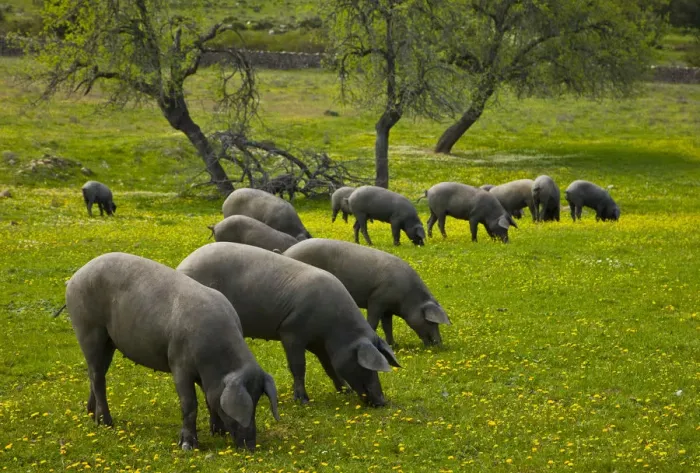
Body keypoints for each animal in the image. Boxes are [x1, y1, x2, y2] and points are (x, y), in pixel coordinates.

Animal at [58, 252, 279, 451]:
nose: (250, 446)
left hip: (109, 341)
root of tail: (75, 277)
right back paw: (106, 423)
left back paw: (90, 415)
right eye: (246, 404)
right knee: (97, 376)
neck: (214, 359)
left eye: (257, 400)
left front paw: (218, 432)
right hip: (88, 329)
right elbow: (190, 404)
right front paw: (188, 446)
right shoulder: (179, 364)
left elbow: (210, 399)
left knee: (96, 373)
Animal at [177, 242, 400, 407]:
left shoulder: (320, 344)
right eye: (367, 366)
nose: (382, 402)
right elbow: (298, 366)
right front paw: (303, 401)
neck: (333, 329)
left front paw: (344, 391)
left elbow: (329, 366)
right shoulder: (291, 332)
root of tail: (183, 265)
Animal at [282, 238, 450, 346]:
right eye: (431, 321)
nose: (439, 344)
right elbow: (373, 322)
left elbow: (387, 326)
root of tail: (286, 253)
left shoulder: (387, 309)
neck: (407, 298)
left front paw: (393, 345)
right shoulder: (377, 300)